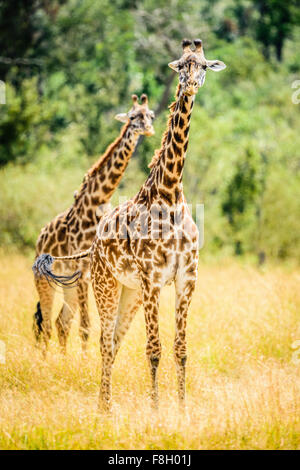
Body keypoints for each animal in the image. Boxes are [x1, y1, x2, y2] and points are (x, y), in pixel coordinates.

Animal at [32, 94, 155, 352]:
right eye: (132, 117)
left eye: (150, 115)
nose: (148, 129)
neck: (98, 200)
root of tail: (39, 239)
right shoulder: (83, 269)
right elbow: (87, 327)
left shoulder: (90, 272)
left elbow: (88, 325)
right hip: (45, 281)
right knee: (46, 324)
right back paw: (45, 359)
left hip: (67, 284)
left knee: (60, 323)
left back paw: (62, 357)